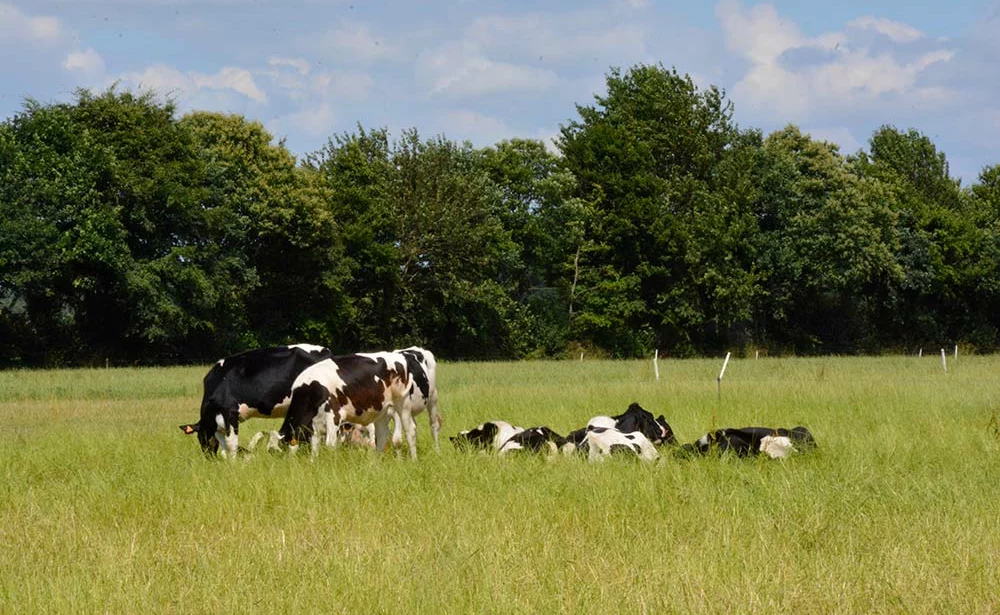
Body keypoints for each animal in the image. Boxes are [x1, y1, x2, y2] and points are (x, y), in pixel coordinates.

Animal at [180, 346, 332, 458]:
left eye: (201, 437)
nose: (209, 457)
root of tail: (326, 351)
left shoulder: (229, 412)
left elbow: (231, 444)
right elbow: (224, 447)